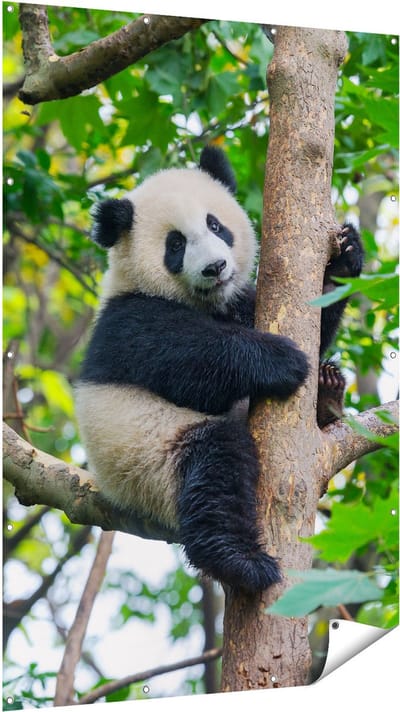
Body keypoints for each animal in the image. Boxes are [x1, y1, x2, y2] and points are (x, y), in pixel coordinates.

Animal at [75, 146, 363, 593]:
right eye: (175, 244)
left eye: (215, 224)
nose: (215, 268)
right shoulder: (129, 320)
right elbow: (191, 362)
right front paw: (282, 360)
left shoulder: (238, 303)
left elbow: (314, 319)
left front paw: (344, 259)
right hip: (149, 459)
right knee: (214, 468)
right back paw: (240, 561)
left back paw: (327, 392)